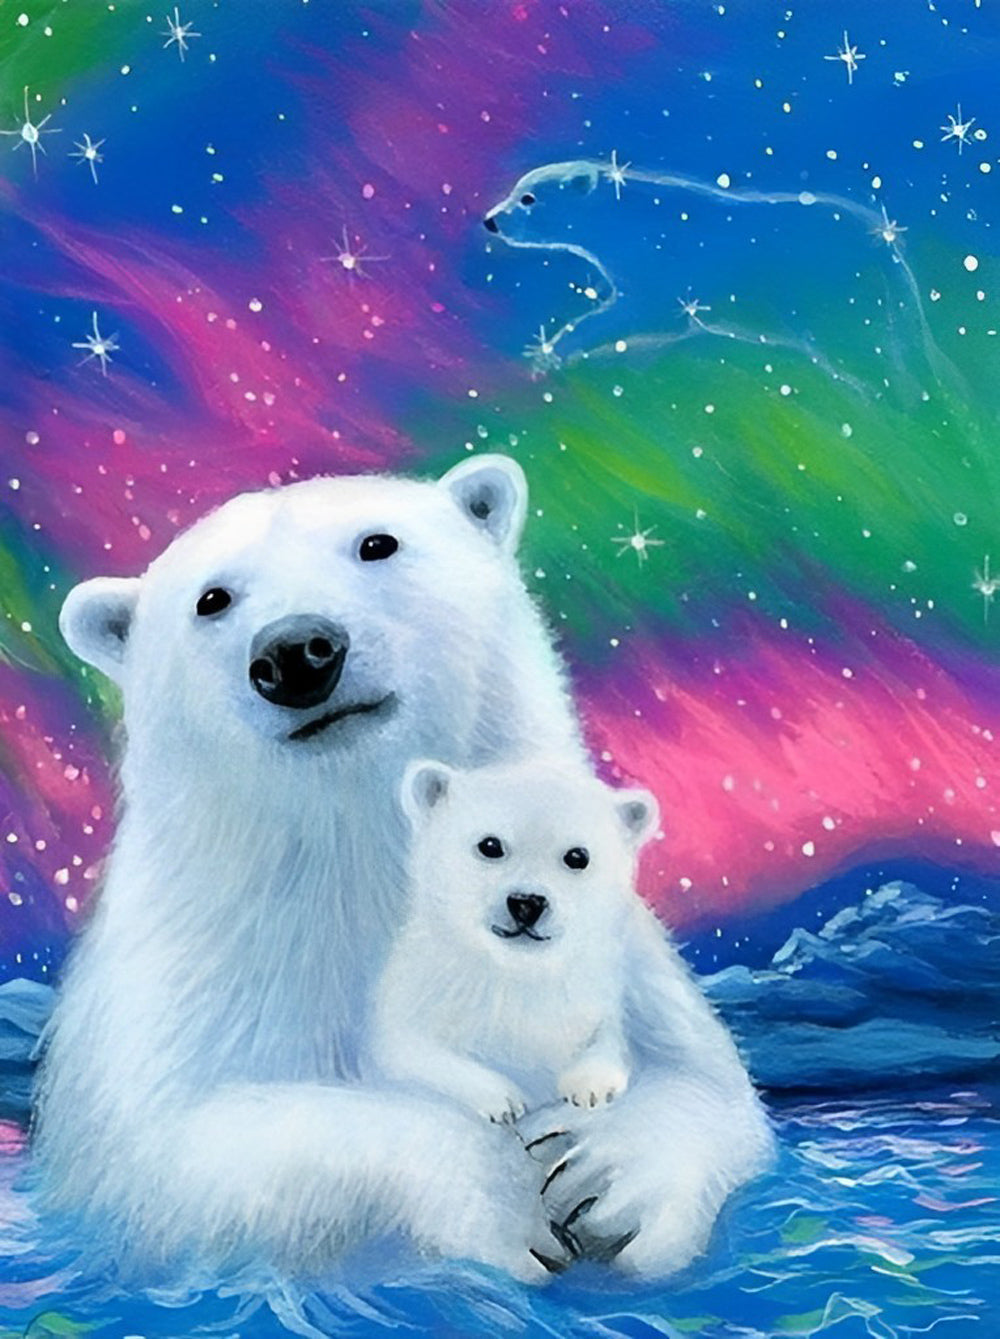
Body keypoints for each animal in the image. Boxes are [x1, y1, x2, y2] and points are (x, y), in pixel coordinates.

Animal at [373, 756, 659, 1123]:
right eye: (490, 845)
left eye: (577, 856)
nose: (527, 903)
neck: (515, 972)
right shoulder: (421, 996)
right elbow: (414, 1052)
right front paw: (504, 1100)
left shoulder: (590, 996)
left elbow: (607, 1036)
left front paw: (589, 1085)